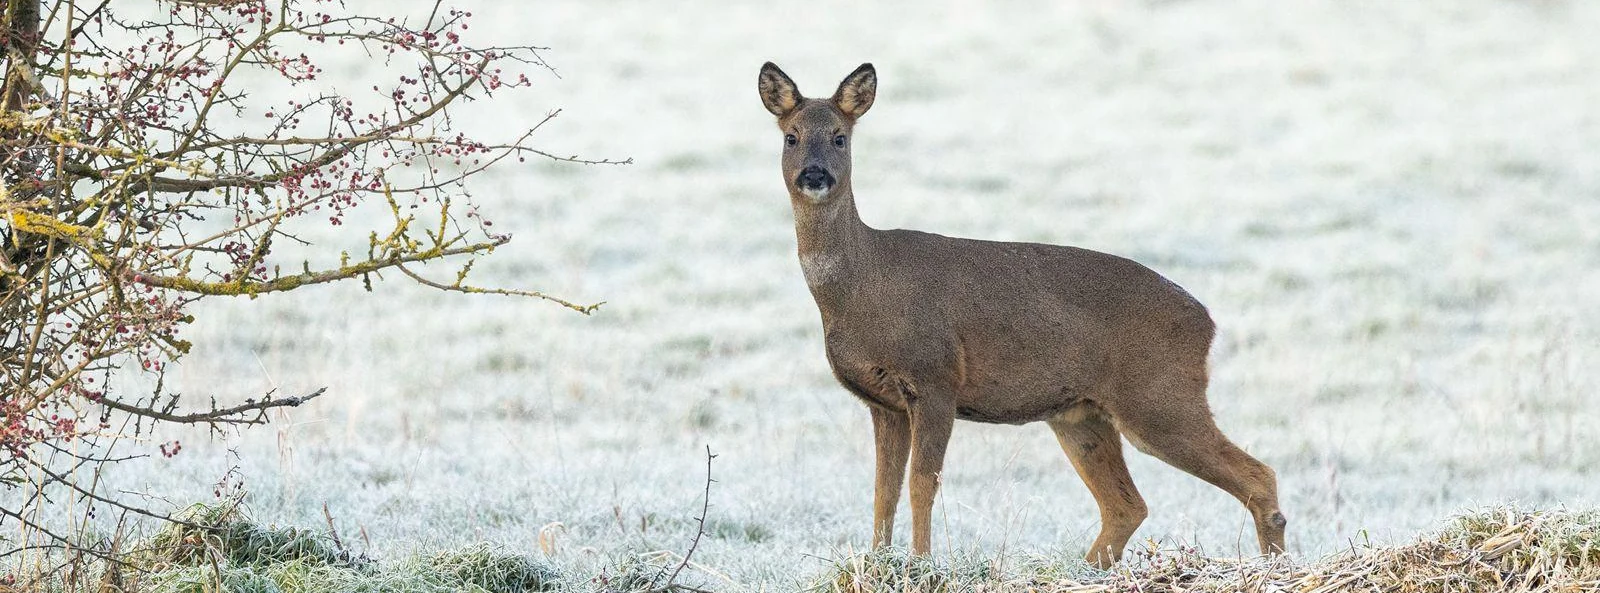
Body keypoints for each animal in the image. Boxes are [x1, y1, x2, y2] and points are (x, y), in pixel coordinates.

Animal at [755, 62, 1287, 568]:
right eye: (791, 136)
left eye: (840, 137)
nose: (815, 175)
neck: (866, 286)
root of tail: (1208, 323)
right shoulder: (882, 402)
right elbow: (881, 492)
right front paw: (879, 563)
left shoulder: (935, 377)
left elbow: (922, 483)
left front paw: (922, 565)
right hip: (1081, 415)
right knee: (1127, 505)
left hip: (1159, 396)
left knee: (1257, 475)